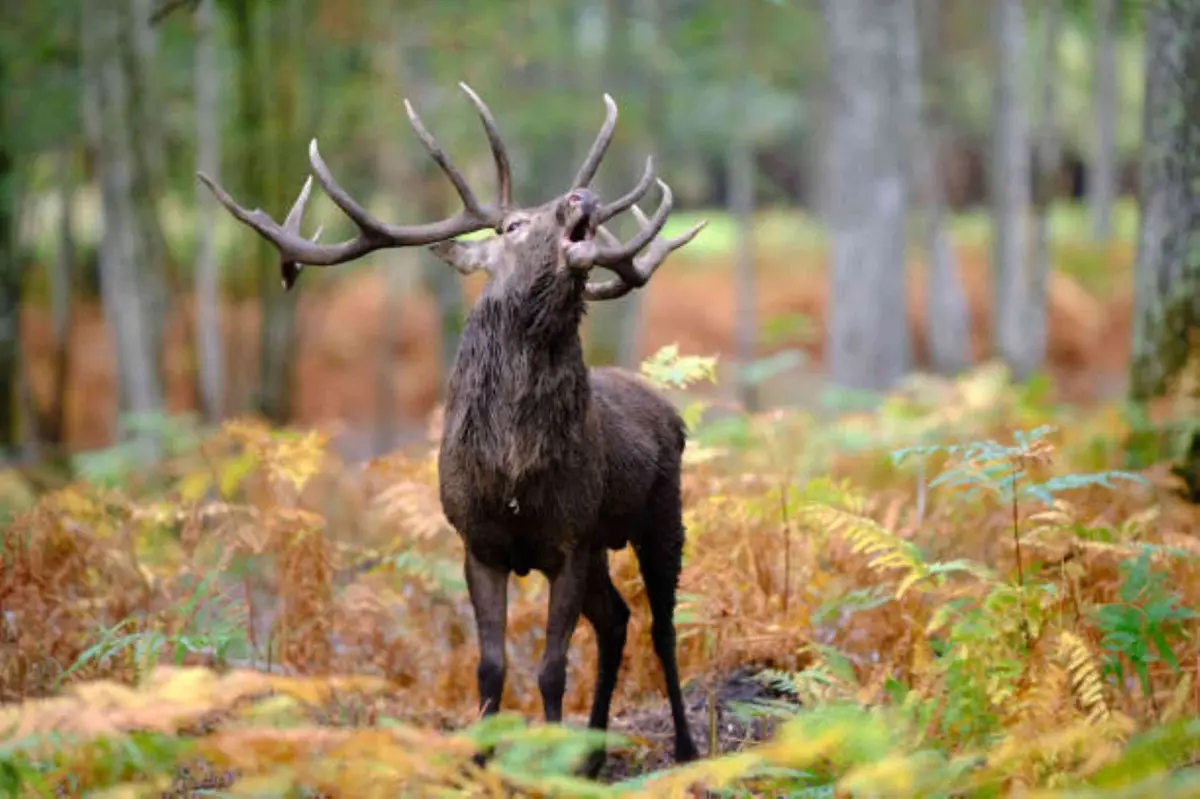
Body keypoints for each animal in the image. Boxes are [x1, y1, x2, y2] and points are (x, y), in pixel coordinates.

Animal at [197, 82, 705, 777]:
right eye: (513, 225)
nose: (583, 197)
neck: (513, 474)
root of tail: (669, 412)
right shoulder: (478, 543)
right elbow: (490, 667)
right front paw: (482, 762)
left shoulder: (568, 541)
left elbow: (550, 669)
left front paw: (547, 767)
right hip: (605, 541)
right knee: (616, 619)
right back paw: (594, 758)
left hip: (660, 516)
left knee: (662, 626)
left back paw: (684, 748)